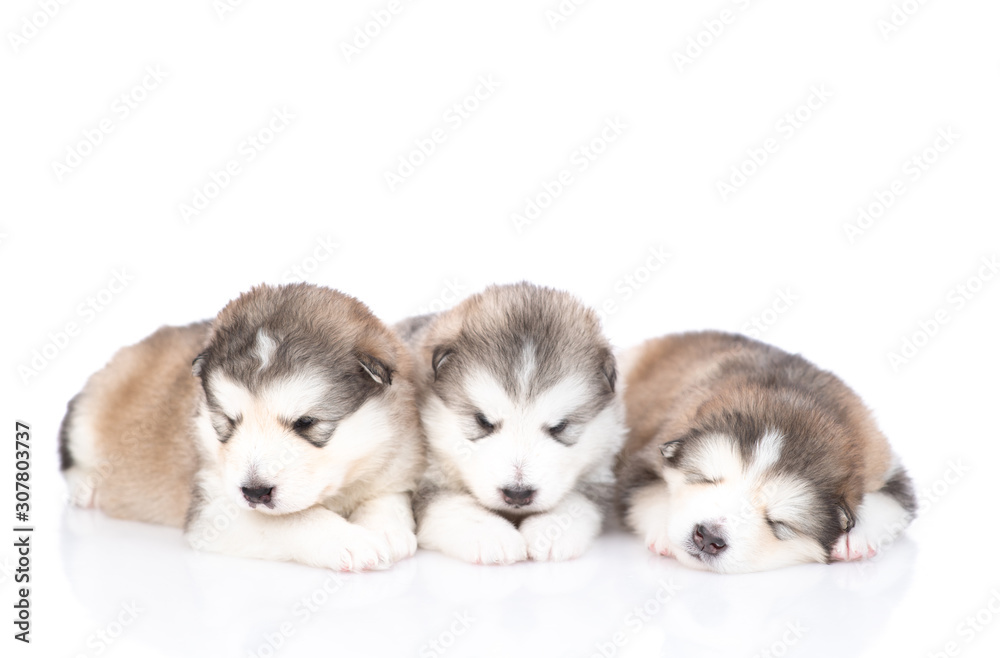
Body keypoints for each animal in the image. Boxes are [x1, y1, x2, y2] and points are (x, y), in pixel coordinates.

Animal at [57, 282, 426, 568]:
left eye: (306, 422)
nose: (255, 492)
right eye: (229, 421)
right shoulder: (213, 508)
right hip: (88, 413)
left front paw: (387, 530)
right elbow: (293, 519)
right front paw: (349, 540)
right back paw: (87, 487)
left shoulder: (393, 461)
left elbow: (387, 498)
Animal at [398, 282, 624, 564]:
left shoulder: (599, 471)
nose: (518, 494)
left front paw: (551, 529)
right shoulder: (423, 476)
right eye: (483, 421)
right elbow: (449, 504)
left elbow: (579, 500)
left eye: (560, 426)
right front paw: (491, 534)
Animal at [616, 330, 916, 572]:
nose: (709, 536)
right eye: (706, 478)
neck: (792, 397)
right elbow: (649, 494)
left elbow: (888, 501)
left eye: (777, 522)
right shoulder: (647, 457)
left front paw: (856, 537)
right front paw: (664, 532)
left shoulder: (884, 465)